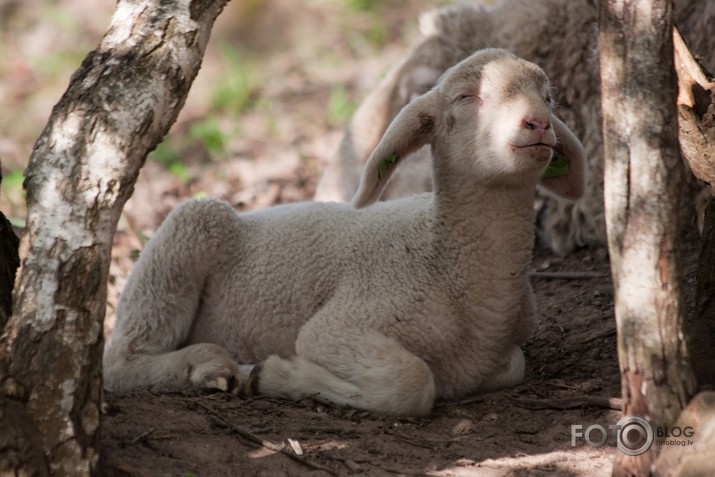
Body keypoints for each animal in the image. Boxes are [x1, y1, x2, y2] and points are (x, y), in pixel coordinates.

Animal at [105, 46, 588, 414]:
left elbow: (513, 365)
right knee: (121, 360)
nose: (538, 124)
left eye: (548, 97)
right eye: (466, 97)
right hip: (183, 238)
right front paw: (276, 374)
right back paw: (207, 366)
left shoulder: (506, 352)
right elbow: (412, 382)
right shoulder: (340, 325)